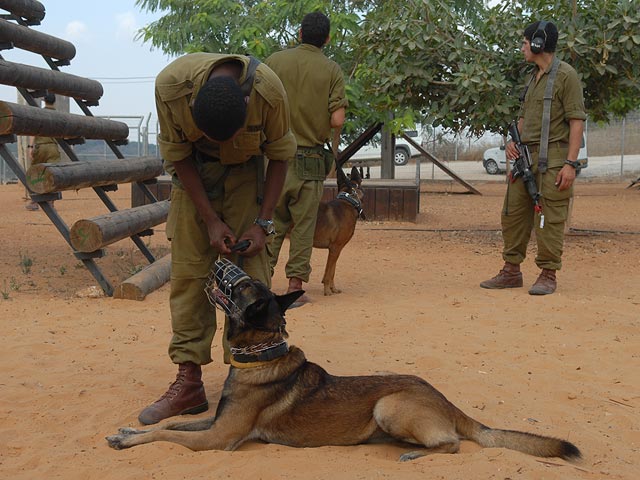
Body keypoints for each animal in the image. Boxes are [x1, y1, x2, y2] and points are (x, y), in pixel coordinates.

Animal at [314, 168, 364, 296]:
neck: (349, 201)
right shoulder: (335, 248)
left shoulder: (336, 250)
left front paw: (333, 288)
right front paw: (327, 291)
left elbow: (332, 271)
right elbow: (328, 273)